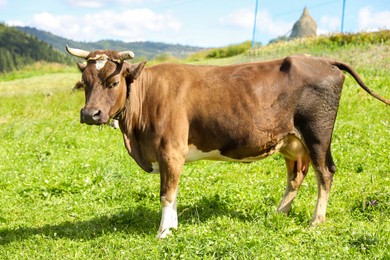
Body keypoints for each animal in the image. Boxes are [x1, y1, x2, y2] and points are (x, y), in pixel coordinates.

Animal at [65, 44, 388, 238]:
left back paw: (315, 222)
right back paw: (278, 213)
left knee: (325, 173)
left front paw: (163, 233)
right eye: (85, 83)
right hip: (292, 141)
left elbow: (167, 194)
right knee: (296, 176)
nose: (89, 114)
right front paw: (173, 228)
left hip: (317, 134)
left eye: (113, 82)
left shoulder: (170, 150)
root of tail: (320, 59)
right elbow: (174, 192)